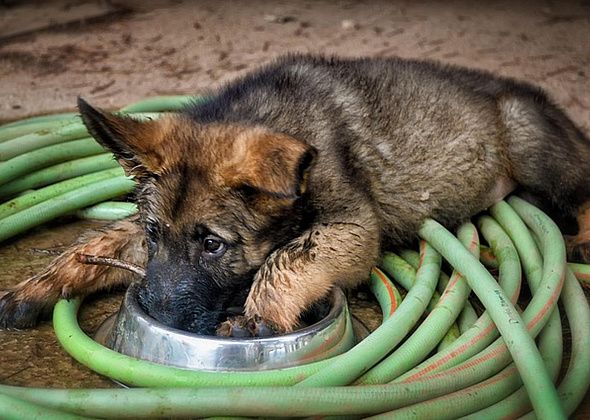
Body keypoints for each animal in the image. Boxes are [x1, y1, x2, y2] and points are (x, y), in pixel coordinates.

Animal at [1, 55, 590, 334]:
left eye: (213, 245)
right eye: (153, 234)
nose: (160, 317)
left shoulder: (353, 226)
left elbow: (288, 256)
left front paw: (257, 317)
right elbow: (93, 243)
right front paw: (36, 287)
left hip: (530, 141)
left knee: (578, 186)